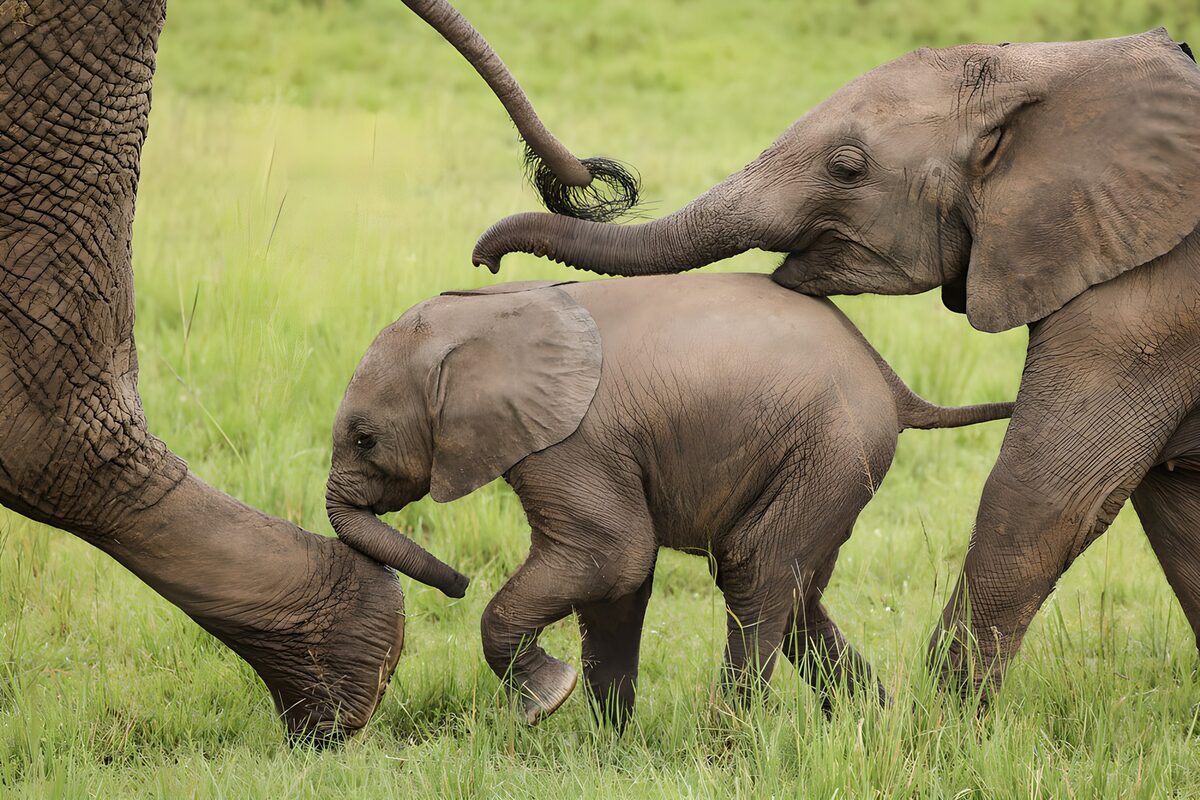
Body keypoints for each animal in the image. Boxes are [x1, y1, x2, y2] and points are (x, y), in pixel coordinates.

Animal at [326, 273, 1011, 727]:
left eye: (364, 439)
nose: (458, 582)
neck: (481, 321)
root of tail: (891, 380)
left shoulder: (574, 440)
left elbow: (613, 556)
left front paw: (545, 703)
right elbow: (617, 582)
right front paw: (610, 744)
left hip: (830, 448)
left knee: (753, 571)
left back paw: (728, 744)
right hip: (835, 463)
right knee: (799, 592)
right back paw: (872, 724)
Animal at [467, 27, 1200, 699]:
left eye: (847, 168)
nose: (484, 259)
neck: (1056, 66)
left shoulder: (1145, 298)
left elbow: (1050, 494)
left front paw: (938, 731)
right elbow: (1176, 511)